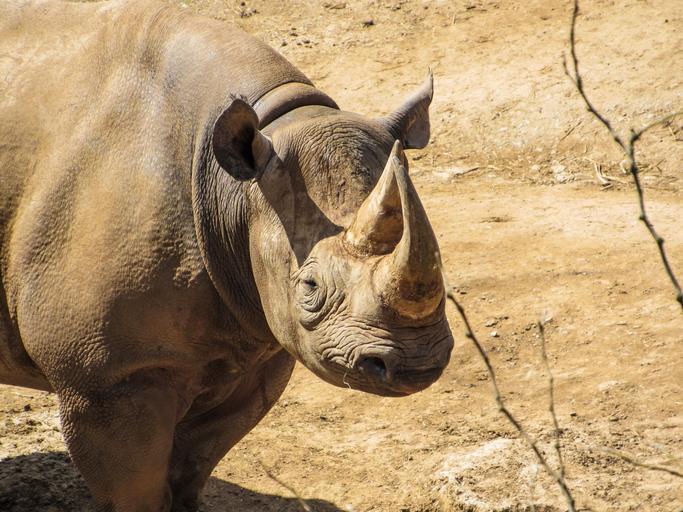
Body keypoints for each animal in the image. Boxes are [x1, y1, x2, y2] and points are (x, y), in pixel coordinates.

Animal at [0, 0, 453, 510]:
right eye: (310, 287)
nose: (418, 365)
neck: (234, 187)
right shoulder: (106, 379)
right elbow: (135, 491)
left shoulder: (254, 341)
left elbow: (193, 468)